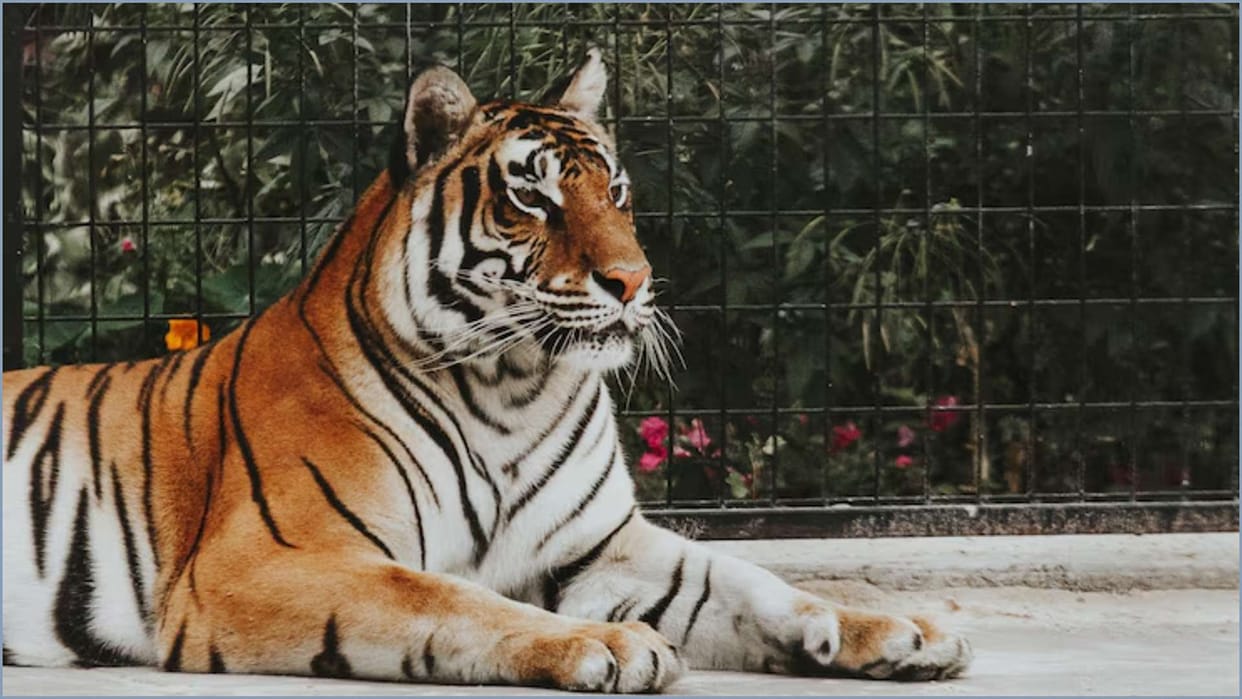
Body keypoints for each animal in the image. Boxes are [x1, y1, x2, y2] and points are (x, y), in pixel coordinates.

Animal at [2, 49, 972, 691]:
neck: (515, 387)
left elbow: (745, 579)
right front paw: (609, 645)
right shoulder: (269, 559)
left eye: (617, 192)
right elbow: (447, 597)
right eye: (533, 197)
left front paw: (900, 628)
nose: (634, 281)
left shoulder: (601, 545)